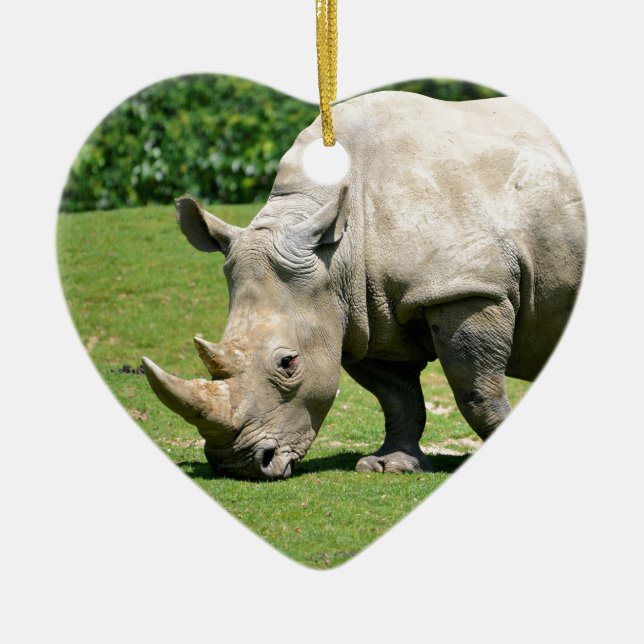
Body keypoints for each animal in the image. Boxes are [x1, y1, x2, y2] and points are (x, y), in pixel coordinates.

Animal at [142, 91, 585, 480]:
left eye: (289, 363)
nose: (238, 465)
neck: (337, 252)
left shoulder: (466, 286)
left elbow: (477, 390)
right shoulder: (361, 312)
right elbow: (398, 397)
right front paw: (390, 466)